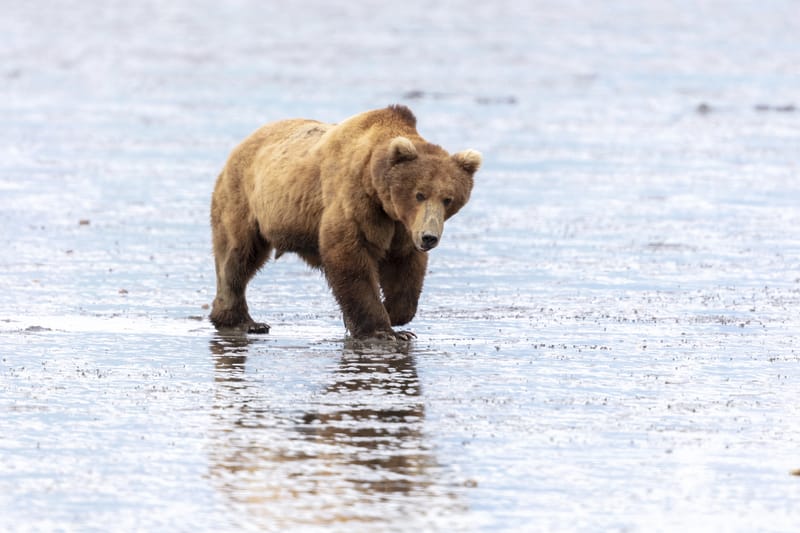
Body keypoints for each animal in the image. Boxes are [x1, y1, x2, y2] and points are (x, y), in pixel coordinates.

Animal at [209, 105, 481, 340]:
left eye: (448, 199)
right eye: (419, 194)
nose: (429, 237)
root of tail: (243, 144)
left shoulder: (402, 226)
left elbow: (405, 268)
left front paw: (394, 317)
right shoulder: (356, 202)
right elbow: (350, 257)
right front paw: (381, 330)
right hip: (245, 199)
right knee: (238, 257)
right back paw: (243, 322)